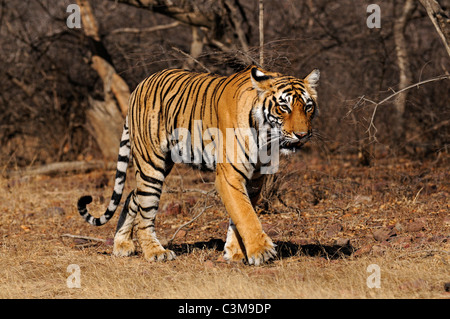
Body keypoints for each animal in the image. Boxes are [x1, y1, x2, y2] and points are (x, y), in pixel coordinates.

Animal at [80, 64, 320, 264]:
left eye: (308, 107)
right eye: (284, 107)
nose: (302, 135)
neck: (265, 137)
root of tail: (139, 86)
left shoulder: (254, 179)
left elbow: (240, 214)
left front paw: (234, 253)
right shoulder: (230, 175)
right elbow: (245, 214)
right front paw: (261, 251)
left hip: (163, 163)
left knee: (132, 195)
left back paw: (122, 244)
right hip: (152, 162)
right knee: (145, 211)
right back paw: (156, 253)